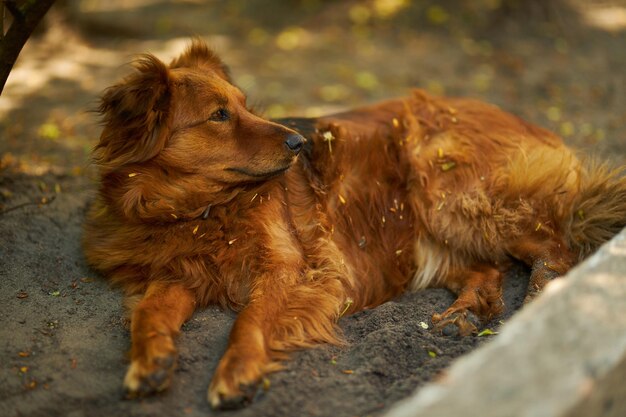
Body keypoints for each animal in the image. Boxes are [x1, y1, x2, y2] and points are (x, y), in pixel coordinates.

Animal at [83, 40, 624, 408]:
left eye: (242, 105)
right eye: (218, 115)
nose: (299, 143)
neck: (195, 212)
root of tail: (534, 127)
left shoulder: (291, 268)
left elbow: (249, 320)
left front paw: (237, 371)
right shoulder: (177, 274)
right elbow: (149, 314)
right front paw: (150, 361)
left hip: (446, 184)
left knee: (556, 253)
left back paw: (536, 306)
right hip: (424, 236)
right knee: (488, 270)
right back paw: (463, 314)